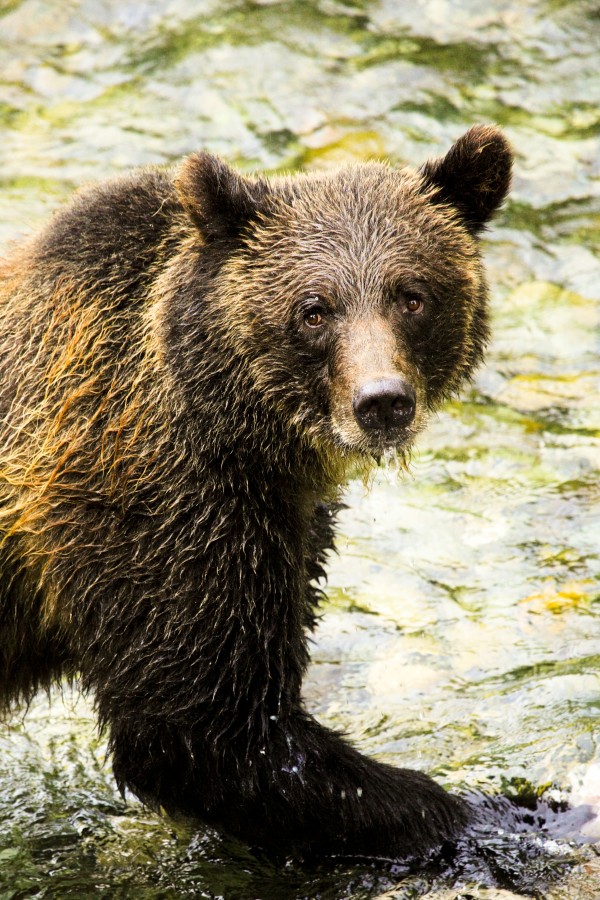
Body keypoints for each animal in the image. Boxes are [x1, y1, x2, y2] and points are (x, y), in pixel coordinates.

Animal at [0, 125, 512, 862]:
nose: (382, 401)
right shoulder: (158, 501)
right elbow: (212, 732)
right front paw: (477, 811)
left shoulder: (283, 517)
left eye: (412, 295)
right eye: (314, 309)